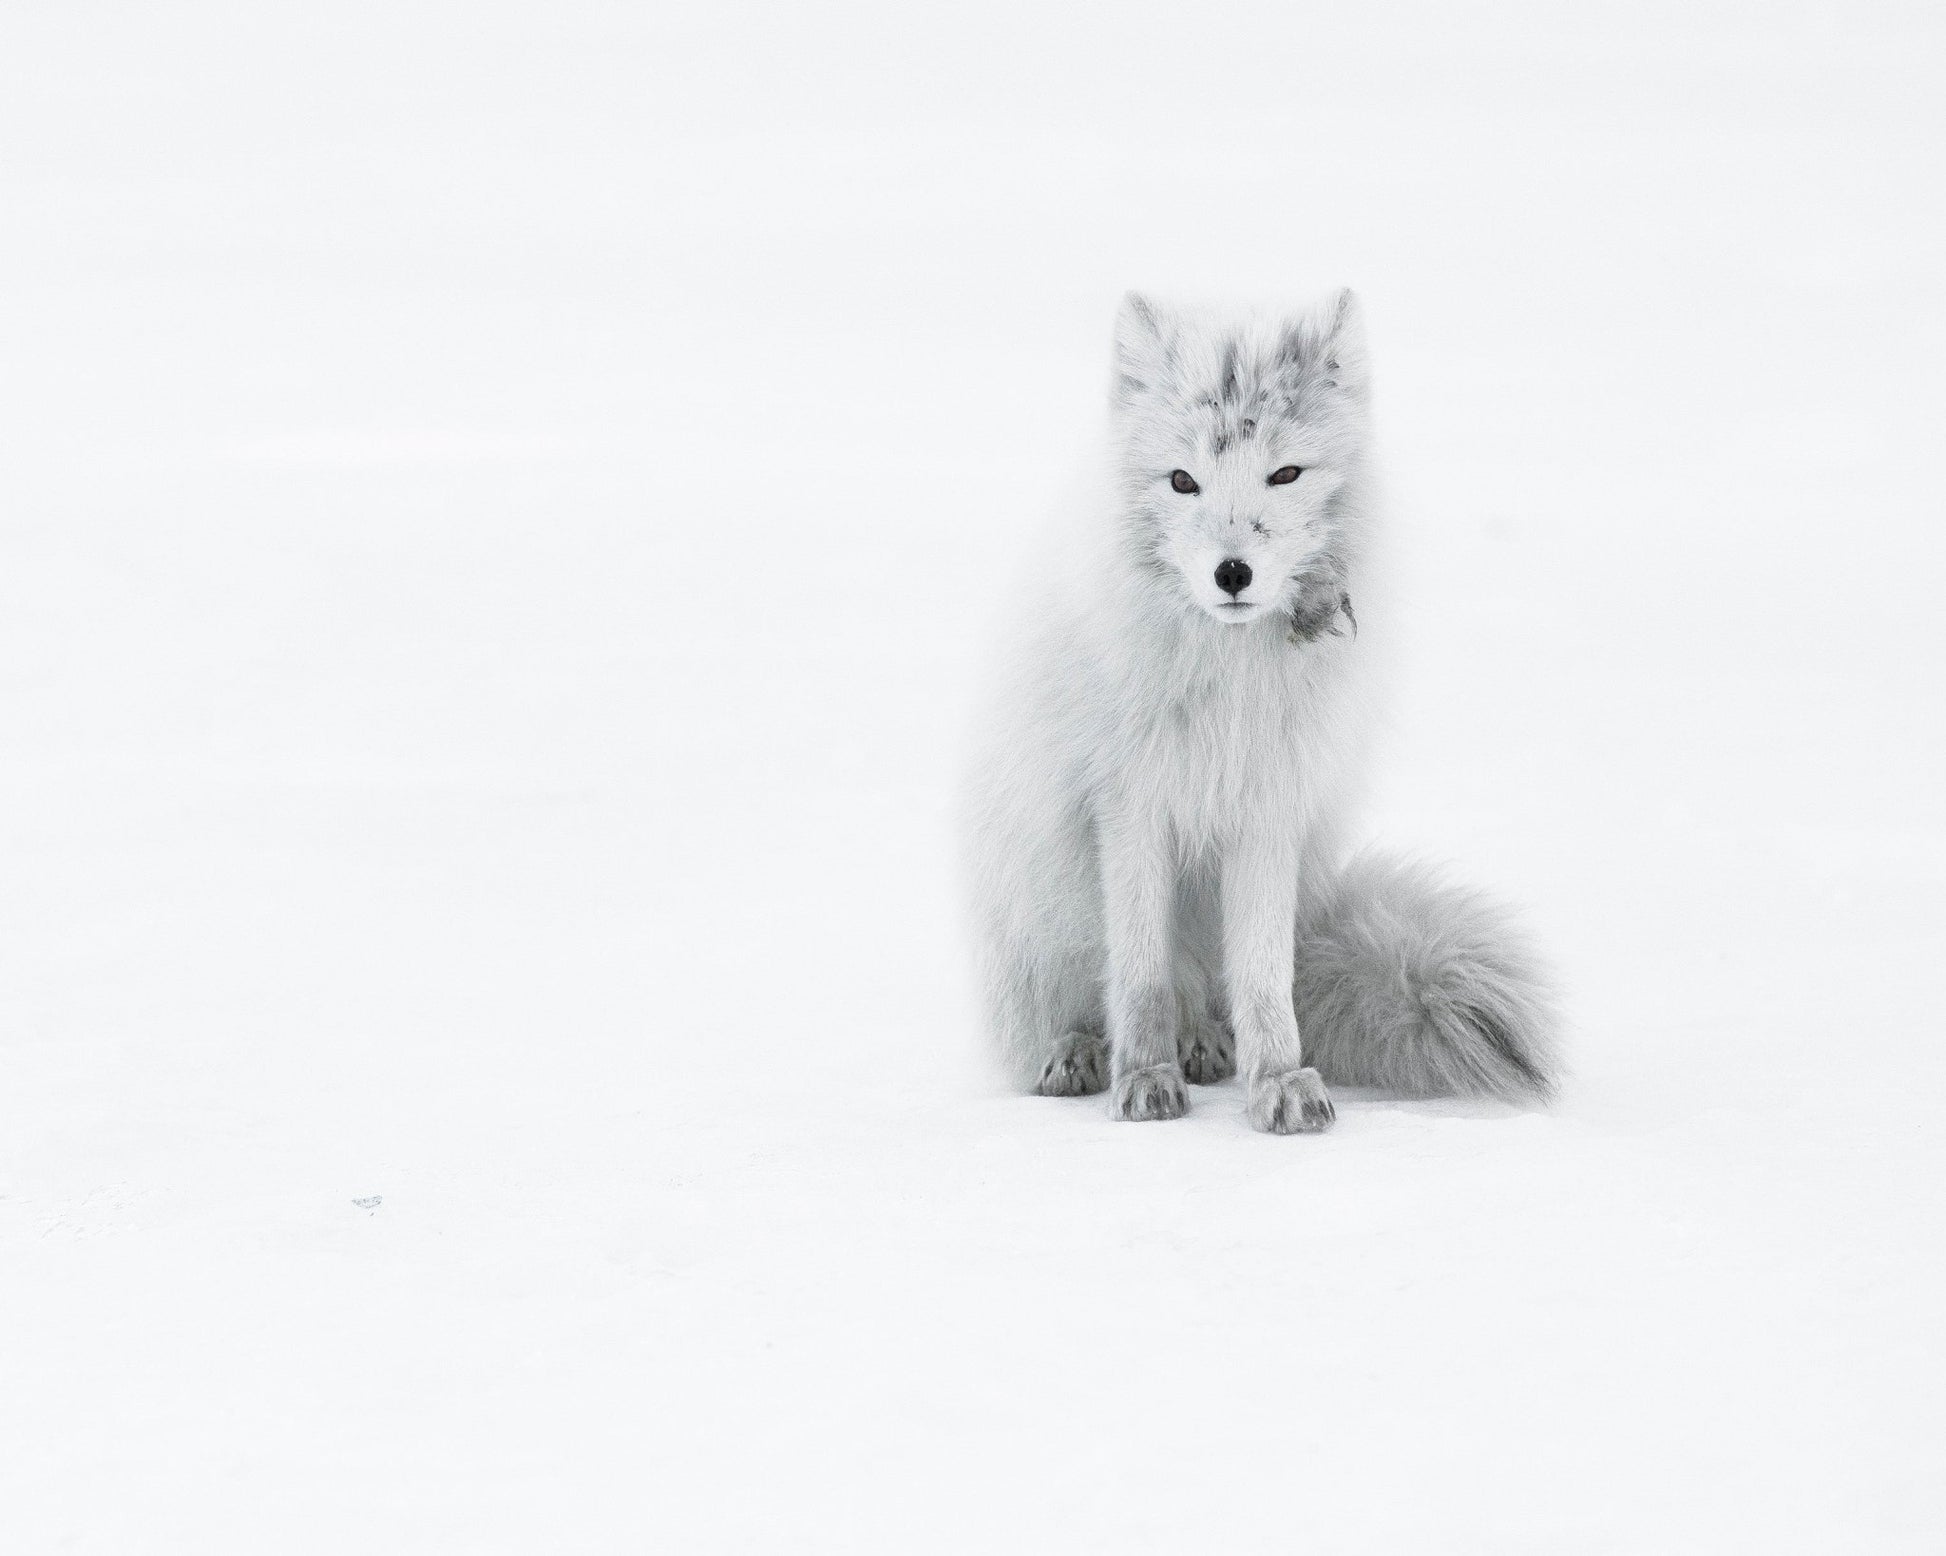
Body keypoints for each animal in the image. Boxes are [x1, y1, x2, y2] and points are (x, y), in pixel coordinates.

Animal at [964, 289, 1559, 1132]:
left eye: (1285, 474)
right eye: (1183, 481)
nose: (1233, 573)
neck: (1228, 683)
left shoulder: (1269, 808)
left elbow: (1264, 977)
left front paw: (1277, 1080)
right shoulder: (1129, 808)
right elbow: (1138, 973)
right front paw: (1143, 1078)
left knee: (1213, 993)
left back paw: (1206, 1044)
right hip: (1040, 897)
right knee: (1089, 994)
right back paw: (1081, 1053)